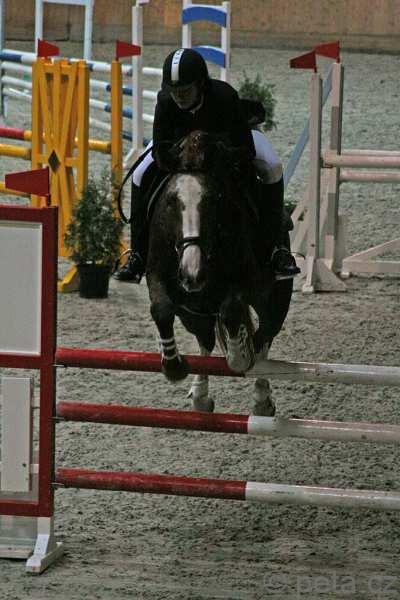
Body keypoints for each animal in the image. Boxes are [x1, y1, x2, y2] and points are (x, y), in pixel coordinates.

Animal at [145, 130, 292, 415]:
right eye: (171, 201)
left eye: (215, 200)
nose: (191, 274)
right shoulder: (157, 275)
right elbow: (161, 310)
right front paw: (173, 366)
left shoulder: (247, 281)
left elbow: (233, 311)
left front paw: (238, 356)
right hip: (193, 313)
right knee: (206, 339)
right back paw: (200, 396)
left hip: (275, 298)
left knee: (265, 337)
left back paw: (261, 399)